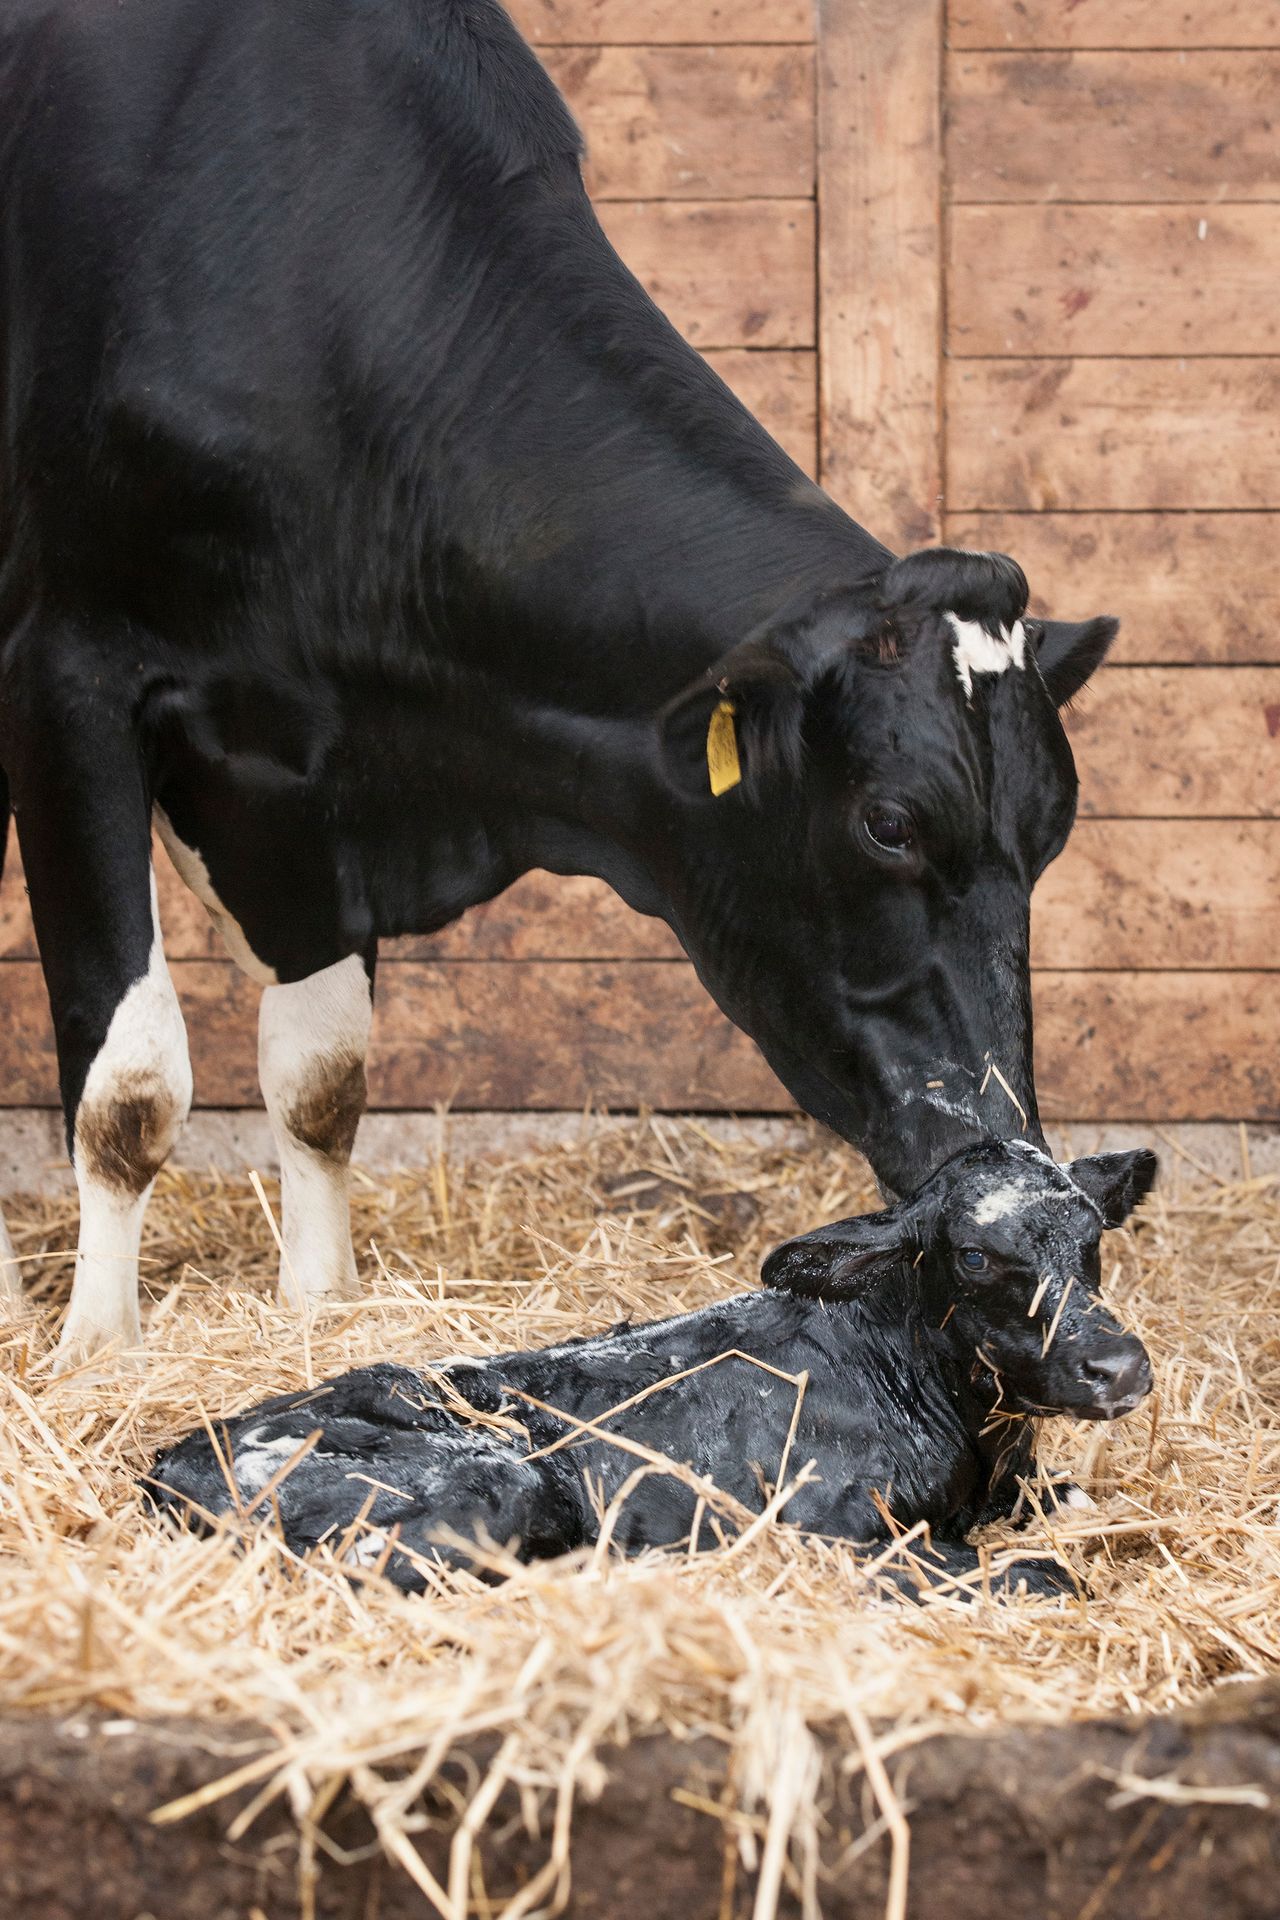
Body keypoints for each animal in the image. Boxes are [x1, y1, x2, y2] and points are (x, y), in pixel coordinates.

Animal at [0, 0, 1120, 1369]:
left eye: (1050, 831)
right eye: (889, 824)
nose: (999, 1152)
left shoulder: (304, 781)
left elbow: (322, 1078)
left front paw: (322, 1304)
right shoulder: (67, 672)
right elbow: (130, 1088)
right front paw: (95, 1352)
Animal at [147, 1144, 1157, 1596]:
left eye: (1093, 1238)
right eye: (977, 1257)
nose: (1117, 1365)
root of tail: (170, 1457)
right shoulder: (821, 1529)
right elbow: (1039, 1572)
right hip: (494, 1477)